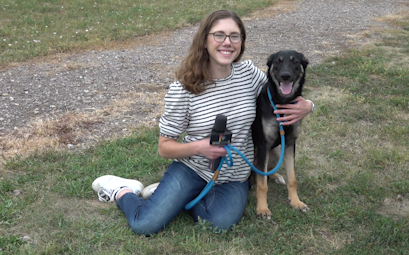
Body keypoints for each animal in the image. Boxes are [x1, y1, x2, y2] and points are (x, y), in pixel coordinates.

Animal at [250, 49, 310, 219]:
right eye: (278, 61)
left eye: (295, 62)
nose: (285, 76)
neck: (283, 104)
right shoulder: (263, 145)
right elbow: (262, 185)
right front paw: (262, 209)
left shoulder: (289, 143)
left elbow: (292, 178)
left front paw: (296, 202)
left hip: (277, 152)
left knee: (267, 173)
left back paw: (276, 176)